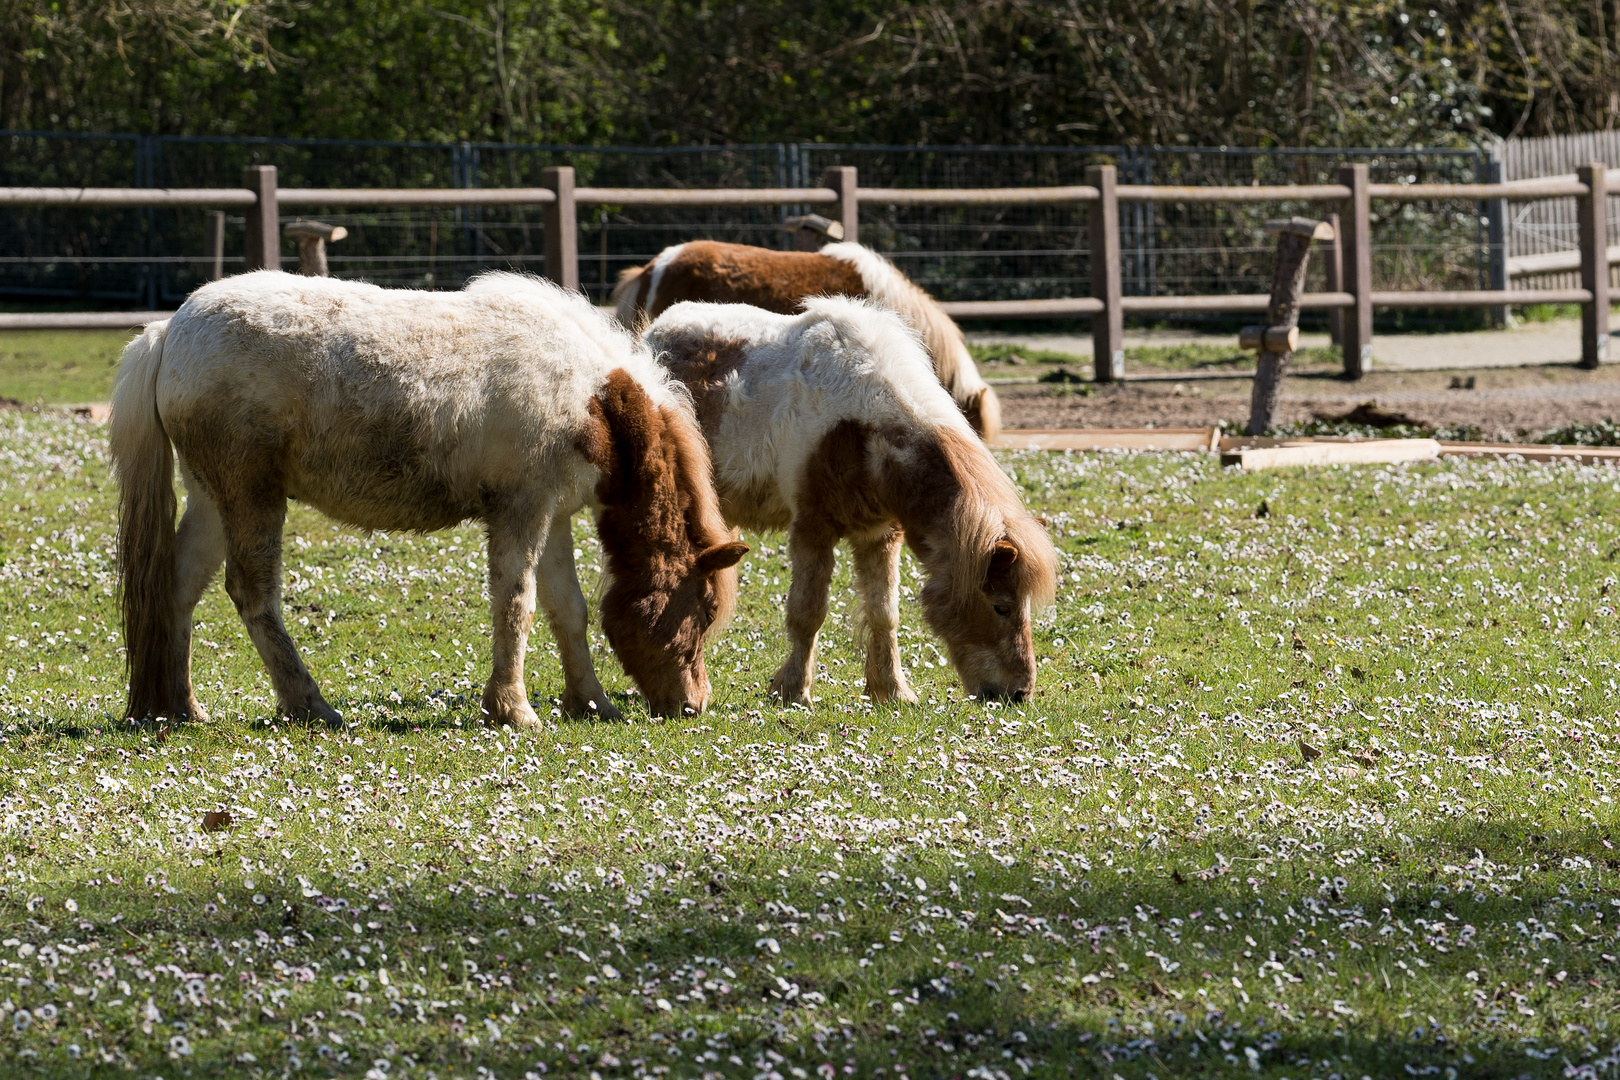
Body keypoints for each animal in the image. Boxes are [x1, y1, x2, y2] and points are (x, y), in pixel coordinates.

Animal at [112, 270, 745, 731]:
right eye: (703, 609)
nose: (692, 705)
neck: (593, 398)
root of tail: (168, 332)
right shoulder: (521, 511)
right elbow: (516, 603)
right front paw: (514, 709)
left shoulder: (554, 513)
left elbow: (568, 609)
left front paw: (589, 701)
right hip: (251, 496)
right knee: (253, 595)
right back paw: (309, 705)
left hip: (211, 500)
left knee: (177, 587)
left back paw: (181, 707)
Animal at [648, 296, 1062, 709]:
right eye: (1002, 607)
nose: (1019, 693)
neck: (861, 427)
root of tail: (658, 331)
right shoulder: (813, 528)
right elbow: (808, 613)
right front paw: (793, 690)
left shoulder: (880, 535)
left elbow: (884, 613)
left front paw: (892, 691)